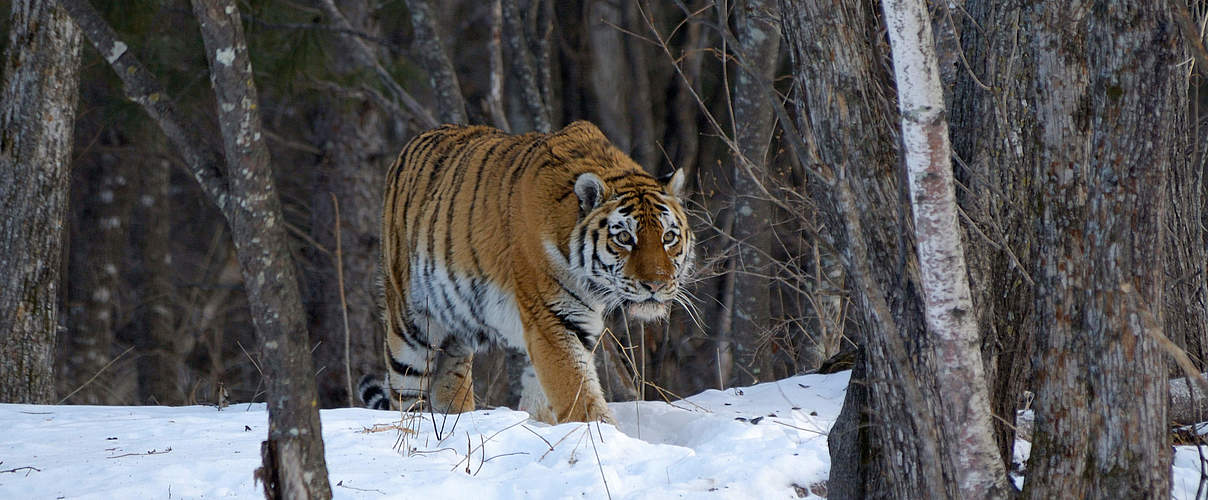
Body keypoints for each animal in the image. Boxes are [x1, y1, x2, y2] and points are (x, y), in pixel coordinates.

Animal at [357, 120, 695, 422]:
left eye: (668, 237)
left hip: (455, 331)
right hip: (410, 326)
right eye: (624, 237)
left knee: (449, 383)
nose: (656, 284)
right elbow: (578, 393)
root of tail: (411, 144)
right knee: (404, 396)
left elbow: (544, 397)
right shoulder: (552, 318)